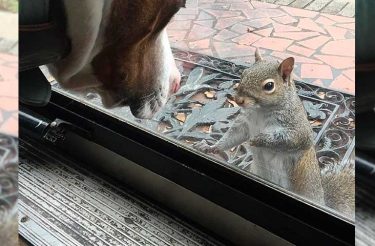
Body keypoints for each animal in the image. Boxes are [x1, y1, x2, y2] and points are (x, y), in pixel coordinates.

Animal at [194, 48, 356, 217]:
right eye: (244, 73)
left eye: (269, 86)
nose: (238, 100)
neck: (261, 111)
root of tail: (322, 199)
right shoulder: (244, 124)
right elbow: (232, 137)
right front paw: (211, 147)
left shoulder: (298, 129)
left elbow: (289, 139)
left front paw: (258, 139)